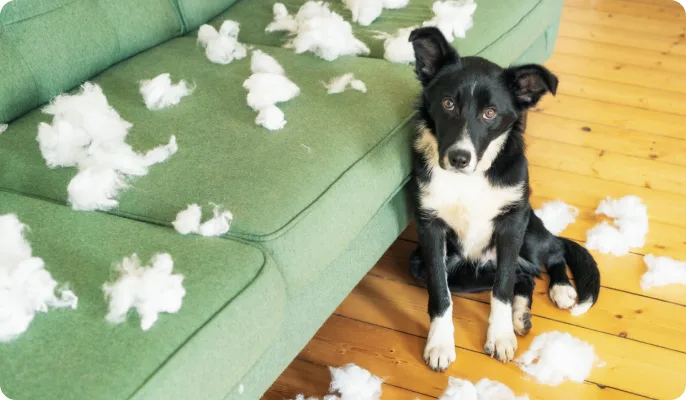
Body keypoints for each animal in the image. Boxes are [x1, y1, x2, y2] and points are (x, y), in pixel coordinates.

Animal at [408, 28, 600, 372]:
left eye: (490, 113)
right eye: (447, 104)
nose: (459, 158)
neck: (469, 179)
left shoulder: (512, 223)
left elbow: (502, 288)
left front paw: (499, 337)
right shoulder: (430, 228)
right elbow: (441, 293)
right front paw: (439, 344)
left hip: (529, 231)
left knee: (552, 252)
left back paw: (560, 289)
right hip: (446, 267)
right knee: (523, 276)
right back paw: (520, 315)